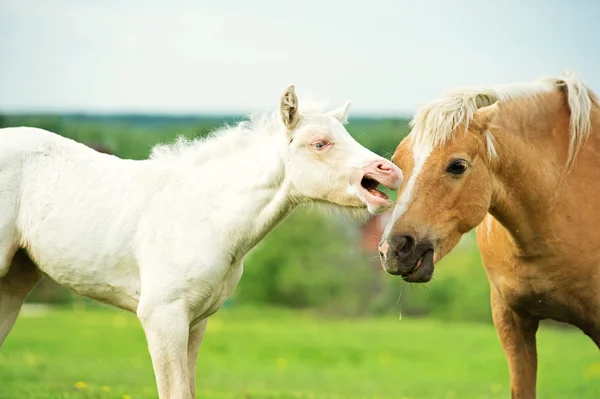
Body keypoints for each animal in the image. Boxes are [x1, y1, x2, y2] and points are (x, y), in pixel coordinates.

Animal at [1, 86, 404, 398]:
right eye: (320, 144)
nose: (391, 171)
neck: (206, 214)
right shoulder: (162, 316)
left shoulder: (197, 321)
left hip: (17, 278)